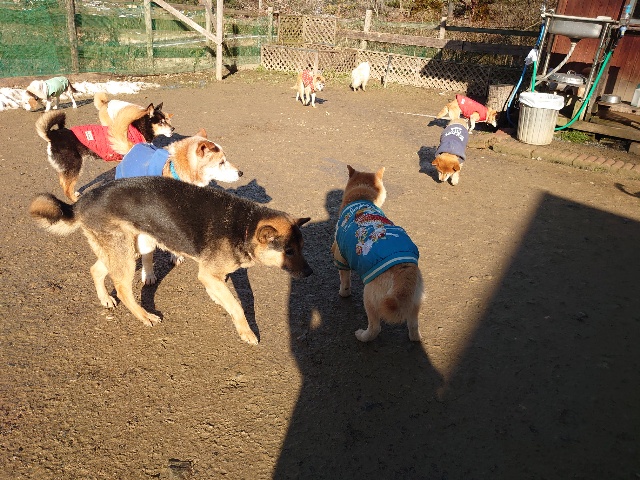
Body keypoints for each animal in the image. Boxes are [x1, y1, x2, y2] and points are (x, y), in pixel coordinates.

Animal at [29, 176, 313, 345]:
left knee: (97, 270)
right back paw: (144, 316)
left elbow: (223, 293)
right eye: (288, 251)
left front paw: (217, 298)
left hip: (124, 248)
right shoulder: (208, 273)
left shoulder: (212, 274)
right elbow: (237, 305)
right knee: (122, 287)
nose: (310, 273)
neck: (245, 226)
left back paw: (105, 299)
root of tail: (81, 203)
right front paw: (246, 331)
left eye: (301, 248)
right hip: (125, 252)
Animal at [35, 103, 174, 201]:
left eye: (166, 120)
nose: (173, 128)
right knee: (67, 189)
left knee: (63, 183)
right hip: (75, 166)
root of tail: (53, 135)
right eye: (161, 122)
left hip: (66, 167)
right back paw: (74, 199)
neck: (139, 129)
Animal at [114, 131, 243, 285]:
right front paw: (149, 275)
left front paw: (175, 256)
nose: (241, 173)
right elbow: (148, 256)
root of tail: (134, 147)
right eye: (221, 162)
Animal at [331, 165, 423, 342]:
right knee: (413, 327)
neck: (362, 197)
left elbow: (344, 281)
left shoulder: (341, 258)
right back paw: (415, 337)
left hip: (369, 298)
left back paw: (363, 336)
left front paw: (343, 293)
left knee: (375, 328)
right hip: (414, 302)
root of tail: (403, 270)